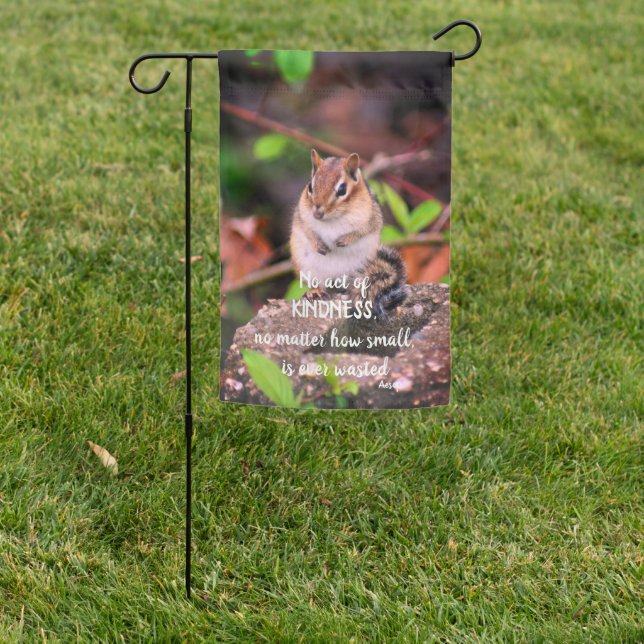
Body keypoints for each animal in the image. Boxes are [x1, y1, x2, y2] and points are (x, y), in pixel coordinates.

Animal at [290, 149, 408, 319]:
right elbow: (307, 230)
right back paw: (316, 292)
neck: (333, 219)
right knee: (319, 284)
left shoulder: (371, 218)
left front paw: (345, 240)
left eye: (342, 190)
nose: (317, 213)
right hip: (307, 268)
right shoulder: (301, 216)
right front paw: (318, 245)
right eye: (310, 187)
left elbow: (362, 231)